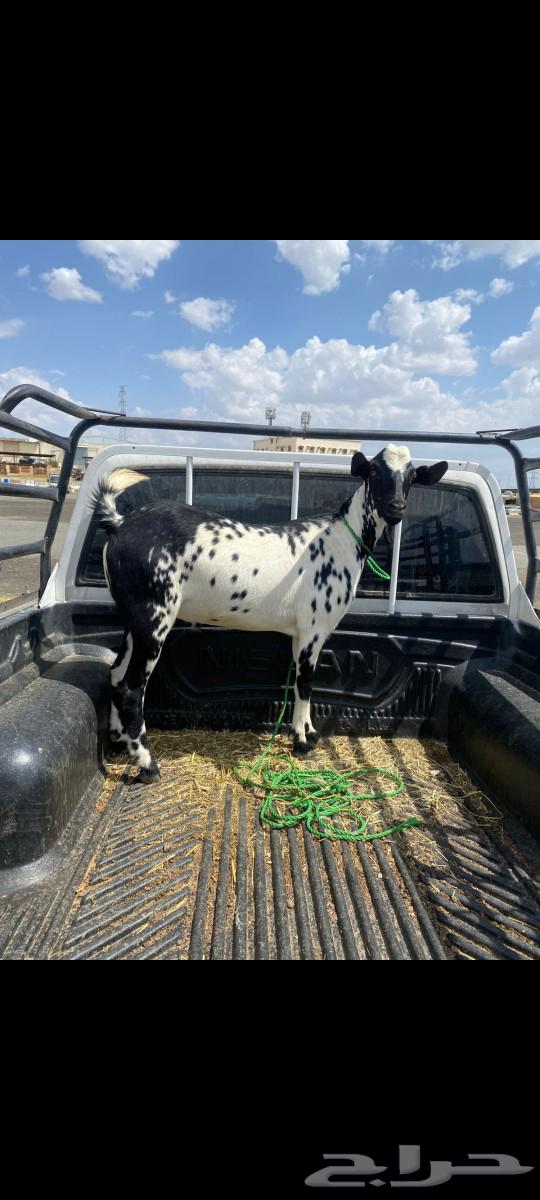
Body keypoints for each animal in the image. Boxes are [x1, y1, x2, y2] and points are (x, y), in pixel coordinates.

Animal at [92, 447, 448, 782]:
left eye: (412, 476)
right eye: (373, 471)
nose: (397, 507)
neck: (339, 541)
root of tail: (120, 523)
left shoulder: (301, 635)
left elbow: (301, 684)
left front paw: (309, 733)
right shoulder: (312, 630)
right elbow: (305, 683)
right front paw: (301, 742)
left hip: (132, 620)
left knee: (115, 674)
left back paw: (118, 741)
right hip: (154, 615)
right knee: (131, 688)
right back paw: (148, 765)